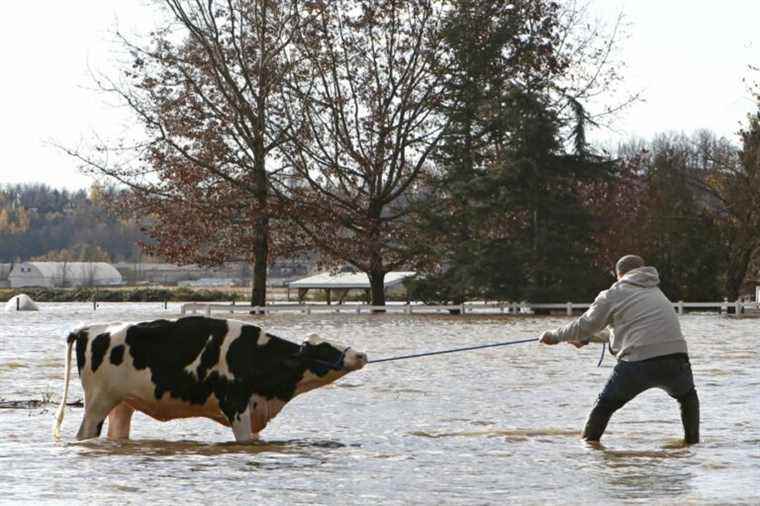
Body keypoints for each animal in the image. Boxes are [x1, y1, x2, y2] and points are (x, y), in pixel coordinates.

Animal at [52, 316, 366, 442]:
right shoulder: (236, 405)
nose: (361, 354)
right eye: (324, 348)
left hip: (122, 405)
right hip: (97, 403)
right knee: (85, 433)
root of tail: (87, 329)